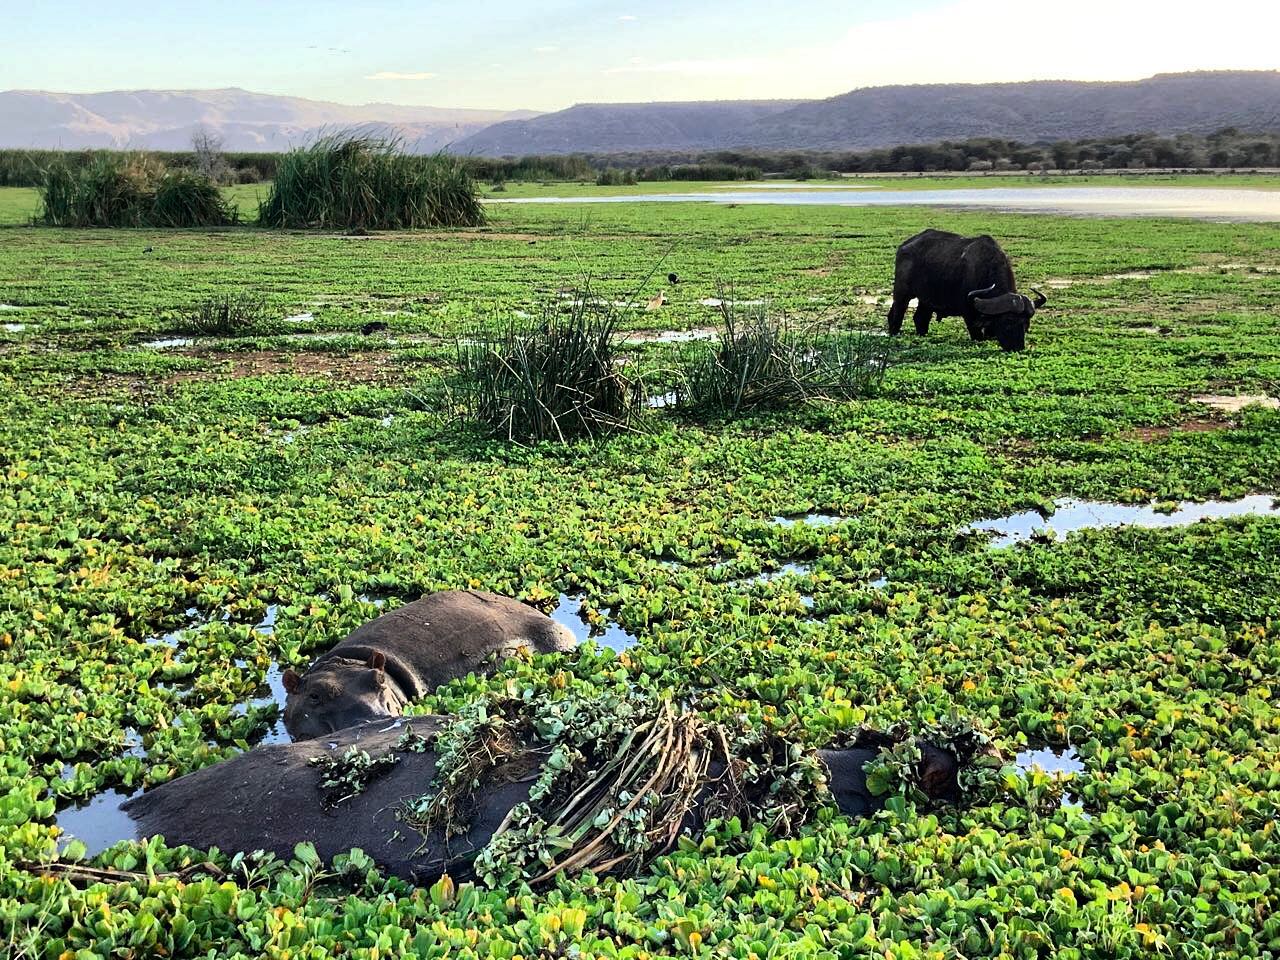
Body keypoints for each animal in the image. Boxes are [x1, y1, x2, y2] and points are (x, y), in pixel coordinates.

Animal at [885, 229, 1044, 353]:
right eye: (1007, 322)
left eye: (1025, 323)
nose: (1017, 347)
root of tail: (904, 246)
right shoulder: (969, 313)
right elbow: (977, 335)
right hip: (902, 293)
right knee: (897, 313)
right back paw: (894, 333)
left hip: (926, 300)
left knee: (920, 318)